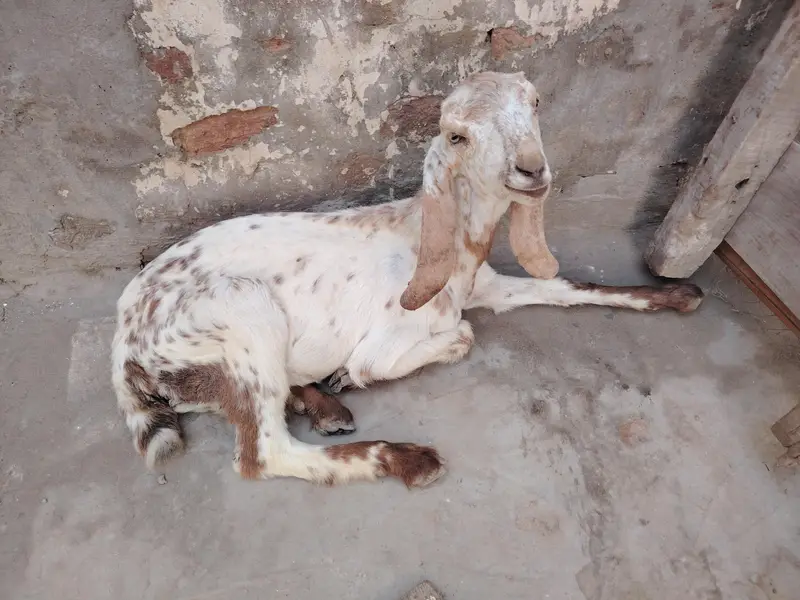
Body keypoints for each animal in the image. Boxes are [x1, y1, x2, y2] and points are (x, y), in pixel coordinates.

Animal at [112, 71, 703, 488]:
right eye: (458, 136)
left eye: (535, 102)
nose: (531, 169)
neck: (440, 243)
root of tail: (124, 345)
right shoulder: (388, 341)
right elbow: (456, 339)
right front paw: (352, 377)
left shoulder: (487, 286)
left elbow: (564, 289)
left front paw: (678, 294)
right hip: (242, 318)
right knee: (264, 453)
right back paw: (406, 457)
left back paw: (324, 405)